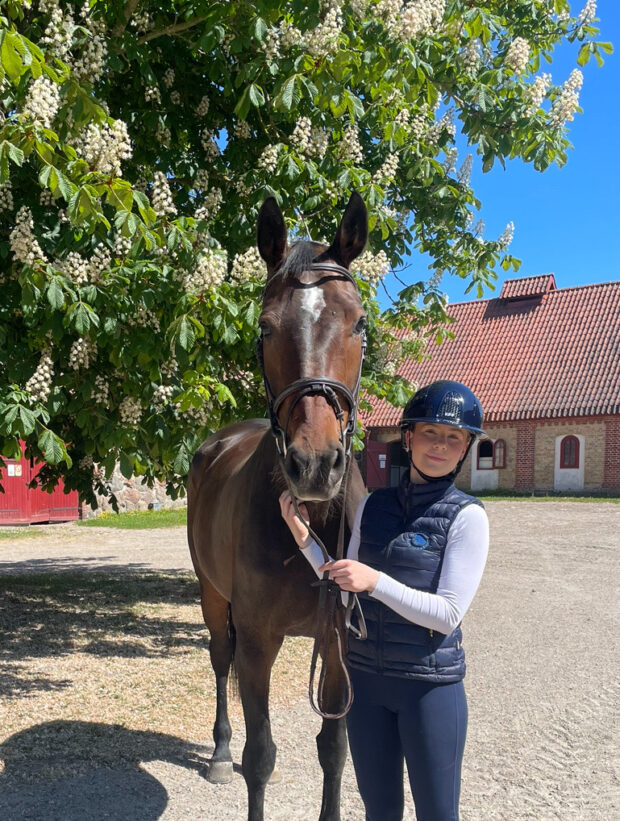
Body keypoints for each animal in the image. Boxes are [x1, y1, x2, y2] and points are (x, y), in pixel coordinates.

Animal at [187, 192, 369, 821]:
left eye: (359, 322)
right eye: (265, 327)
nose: (314, 464)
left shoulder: (337, 644)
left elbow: (335, 748)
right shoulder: (259, 642)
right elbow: (261, 756)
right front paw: (239, 757)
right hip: (212, 596)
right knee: (219, 660)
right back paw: (220, 753)